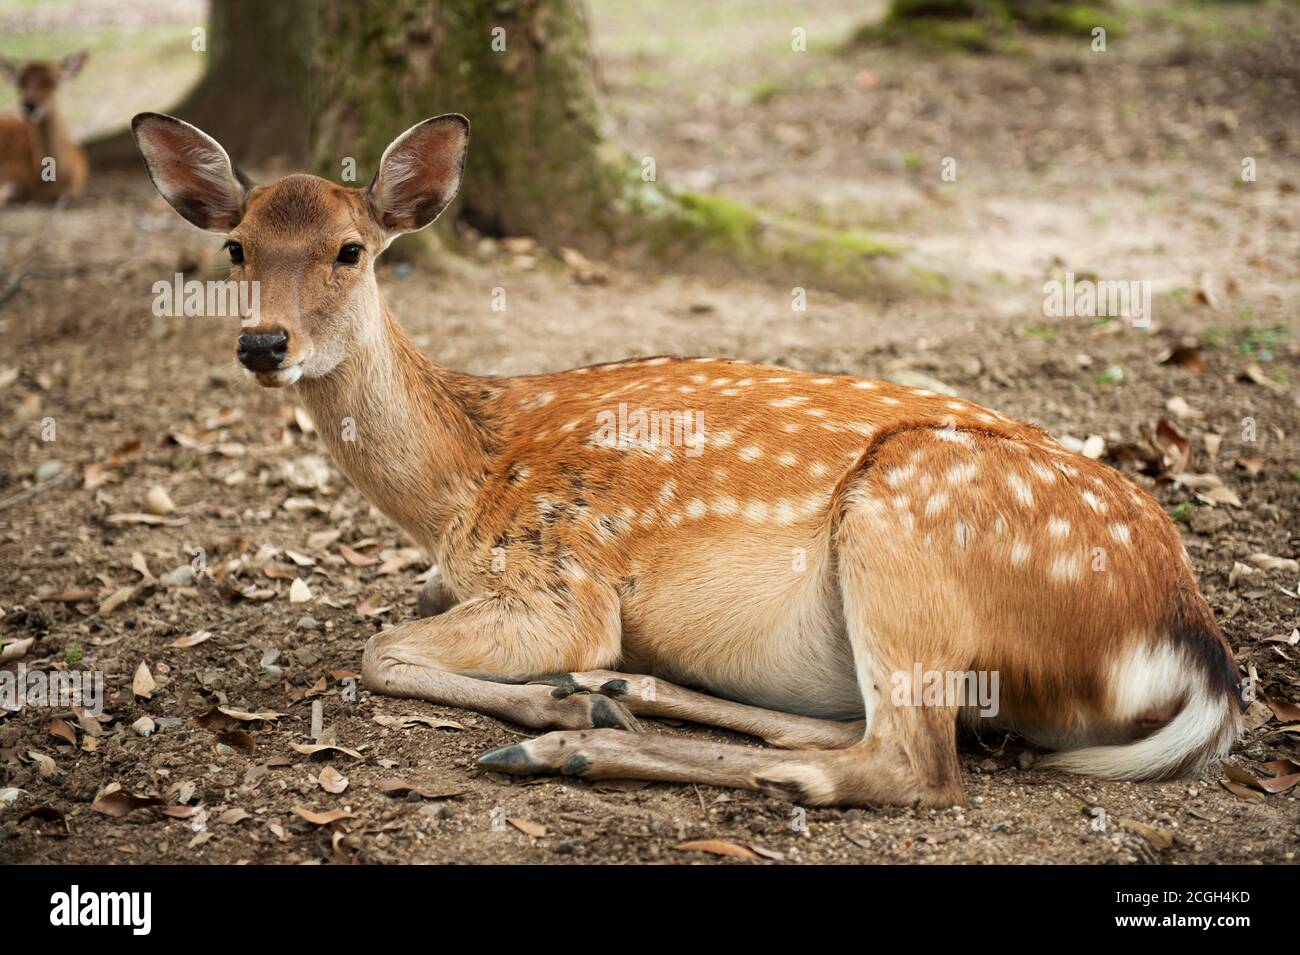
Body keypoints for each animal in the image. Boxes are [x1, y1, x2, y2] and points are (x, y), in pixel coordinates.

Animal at [129, 111, 1237, 810]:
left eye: (352, 249)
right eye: (235, 248)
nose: (263, 343)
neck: (462, 483)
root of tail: (1192, 644)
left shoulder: (562, 579)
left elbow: (380, 649)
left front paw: (550, 694)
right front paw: (573, 688)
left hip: (910, 519)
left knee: (908, 764)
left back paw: (570, 738)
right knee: (860, 730)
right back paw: (621, 697)